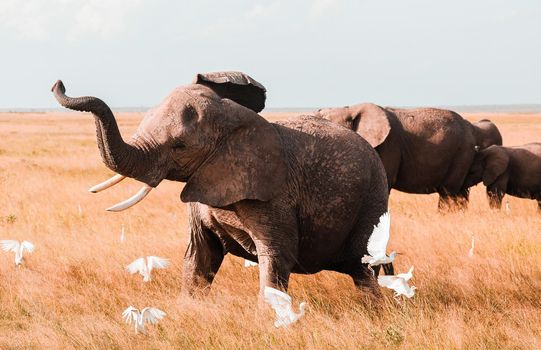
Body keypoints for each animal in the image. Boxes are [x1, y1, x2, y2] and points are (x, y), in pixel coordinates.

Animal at [50, 72, 388, 296]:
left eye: (180, 146)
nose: (58, 83)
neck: (232, 121)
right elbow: (199, 256)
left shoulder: (275, 196)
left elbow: (276, 256)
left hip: (373, 199)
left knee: (364, 267)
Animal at [316, 102, 502, 209]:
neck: (350, 109)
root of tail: (472, 127)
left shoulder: (389, 145)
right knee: (460, 193)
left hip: (462, 152)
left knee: (448, 192)